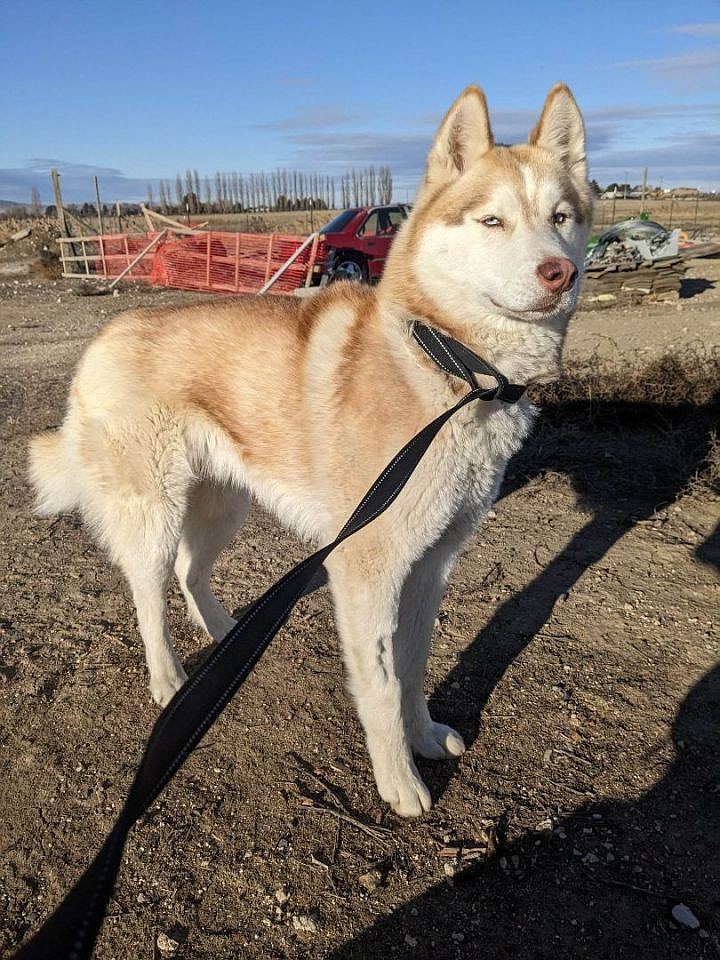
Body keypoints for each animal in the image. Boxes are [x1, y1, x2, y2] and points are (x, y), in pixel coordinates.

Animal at [29, 84, 592, 816]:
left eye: (560, 217)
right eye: (492, 221)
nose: (561, 272)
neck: (449, 368)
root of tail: (103, 337)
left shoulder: (431, 565)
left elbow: (414, 666)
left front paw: (424, 734)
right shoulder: (366, 569)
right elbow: (381, 685)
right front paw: (399, 781)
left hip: (223, 506)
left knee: (189, 572)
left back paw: (225, 636)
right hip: (154, 515)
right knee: (149, 593)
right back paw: (169, 680)